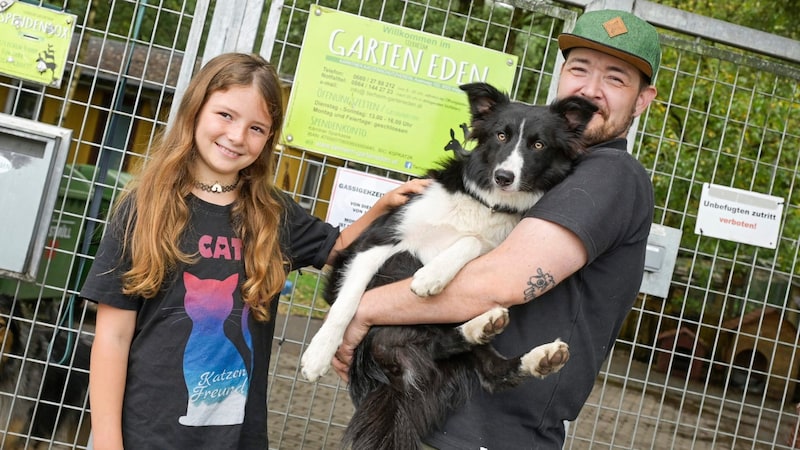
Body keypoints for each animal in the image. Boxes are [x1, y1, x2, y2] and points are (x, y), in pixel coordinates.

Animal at [298, 82, 592, 448]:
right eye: (500, 135)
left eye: (538, 144)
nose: (504, 176)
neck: (487, 203)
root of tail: (401, 371)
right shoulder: (376, 241)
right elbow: (346, 305)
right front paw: (318, 355)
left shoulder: (494, 249)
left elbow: (473, 241)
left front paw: (433, 274)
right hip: (400, 267)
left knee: (490, 371)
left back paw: (523, 348)